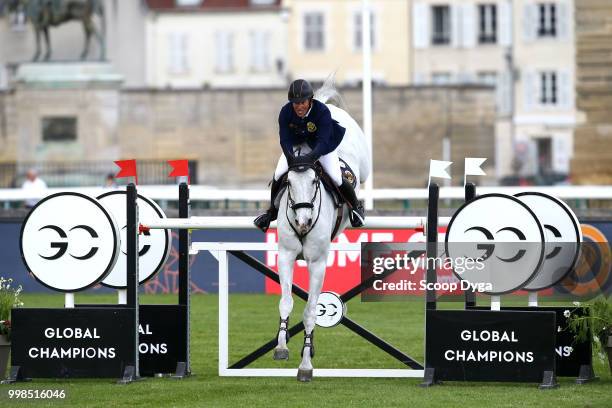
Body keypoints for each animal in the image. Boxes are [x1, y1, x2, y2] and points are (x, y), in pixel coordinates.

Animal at [274, 79, 370, 382]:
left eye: (316, 181)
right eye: (288, 183)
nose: (304, 222)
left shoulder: (317, 263)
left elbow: (310, 312)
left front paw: (305, 365)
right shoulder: (286, 256)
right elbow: (286, 302)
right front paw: (281, 347)